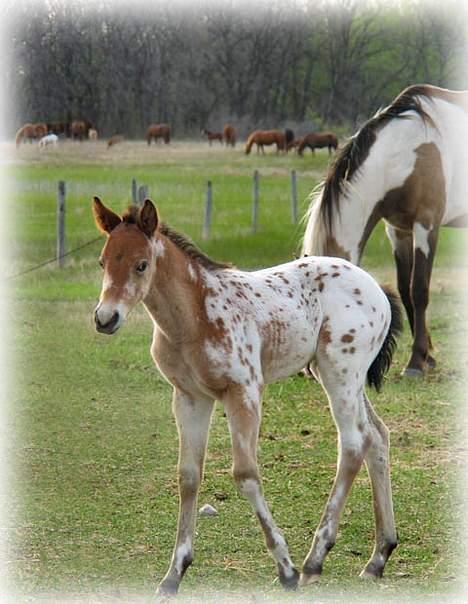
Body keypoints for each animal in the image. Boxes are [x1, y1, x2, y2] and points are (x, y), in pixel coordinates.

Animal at [92, 197, 402, 596]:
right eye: (103, 261)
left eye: (141, 264)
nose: (105, 318)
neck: (194, 316)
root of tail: (376, 288)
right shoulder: (189, 398)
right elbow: (188, 476)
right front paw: (174, 574)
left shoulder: (244, 392)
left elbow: (245, 473)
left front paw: (286, 569)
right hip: (338, 375)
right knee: (377, 436)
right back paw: (379, 556)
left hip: (340, 373)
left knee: (352, 444)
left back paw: (313, 560)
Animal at [304, 84, 468, 378]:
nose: (310, 371)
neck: (403, 152)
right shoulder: (398, 229)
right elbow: (404, 290)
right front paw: (428, 358)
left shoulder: (426, 225)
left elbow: (419, 289)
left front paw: (415, 363)